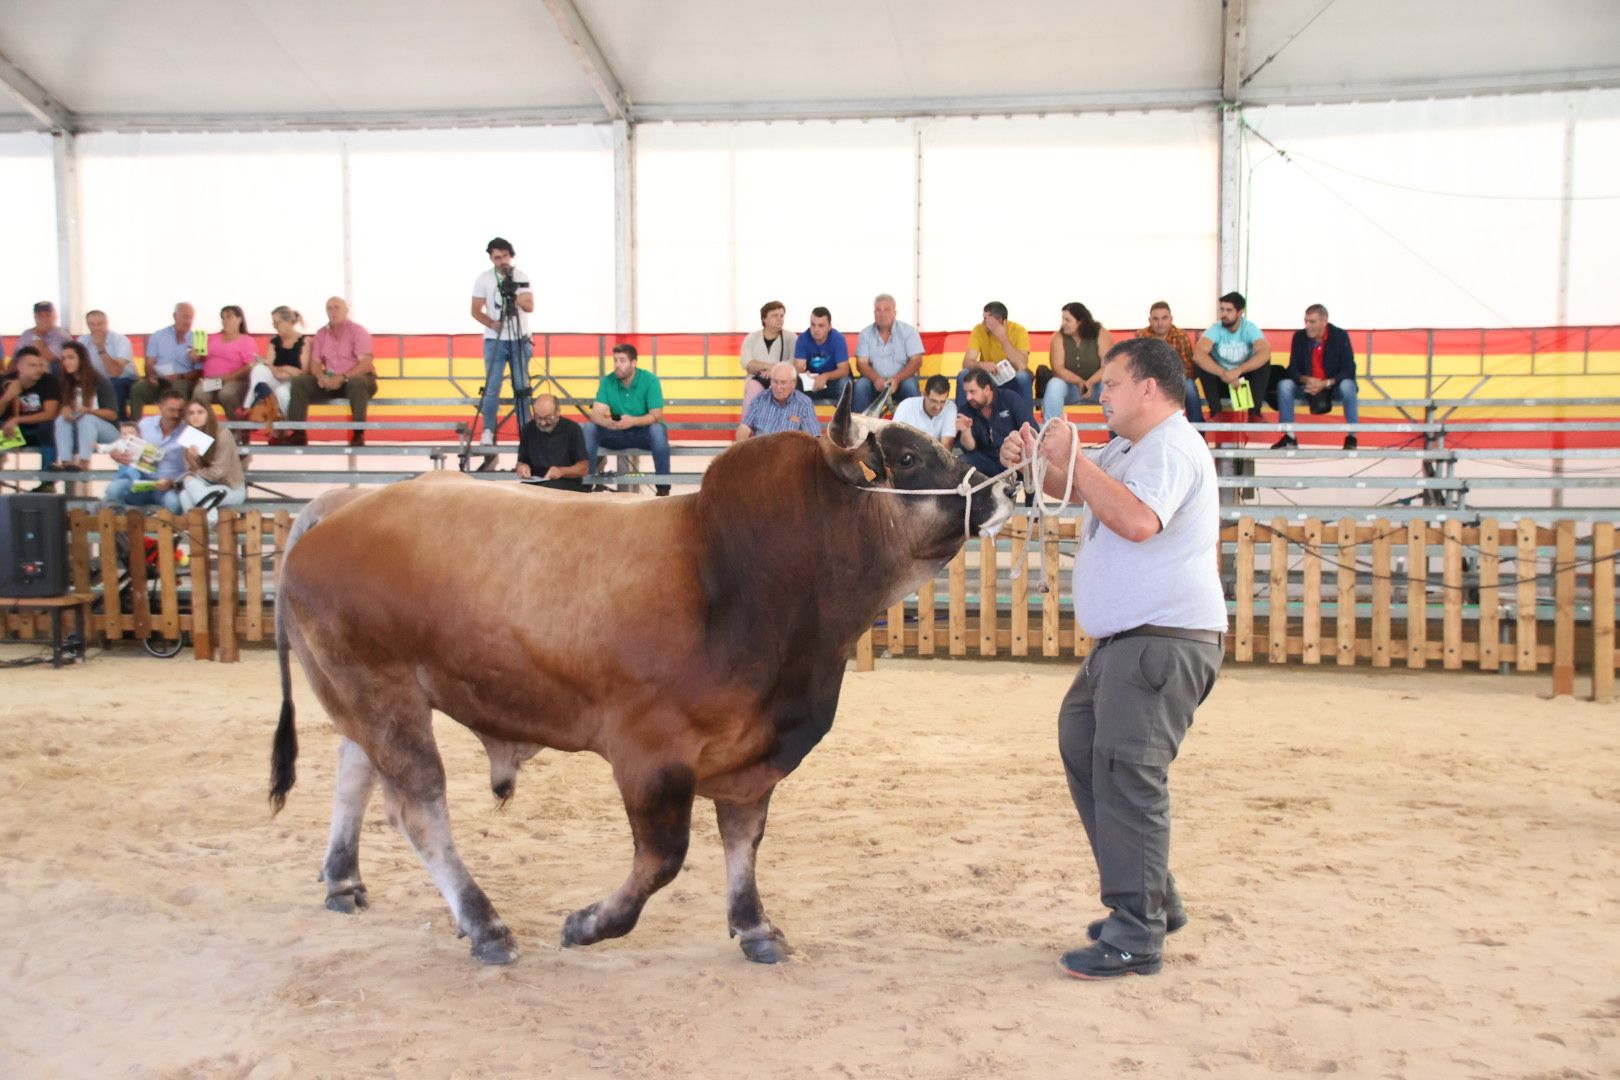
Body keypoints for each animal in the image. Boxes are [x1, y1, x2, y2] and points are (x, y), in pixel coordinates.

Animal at [267, 393, 1010, 965]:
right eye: (907, 459)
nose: (1004, 486)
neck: (742, 570)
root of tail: (339, 504)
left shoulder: (754, 753)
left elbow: (743, 840)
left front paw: (755, 926)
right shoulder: (650, 754)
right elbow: (663, 859)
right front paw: (588, 924)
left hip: (367, 693)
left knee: (354, 774)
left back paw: (344, 881)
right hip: (381, 692)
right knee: (417, 806)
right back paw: (484, 923)